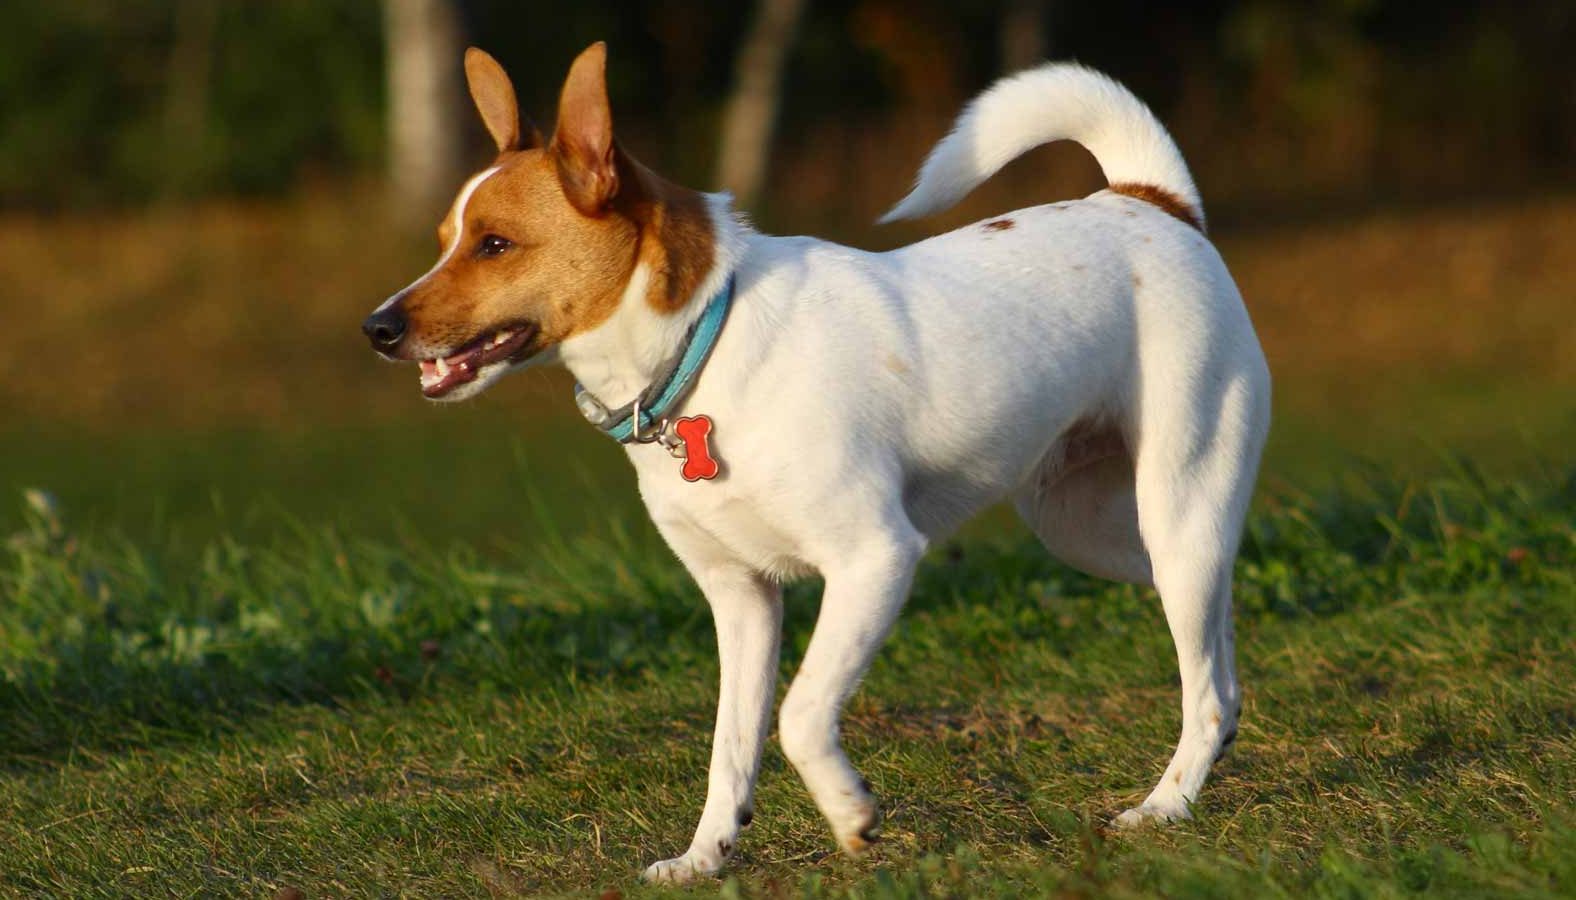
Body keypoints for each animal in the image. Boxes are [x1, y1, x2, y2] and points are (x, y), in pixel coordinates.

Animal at [362, 45, 1273, 882]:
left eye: (495, 245)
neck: (706, 346)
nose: (377, 328)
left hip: (1177, 507)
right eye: (444, 241)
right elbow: (731, 743)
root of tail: (1152, 203)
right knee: (1217, 648)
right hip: (1093, 533)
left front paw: (850, 812)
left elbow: (799, 717)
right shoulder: (740, 601)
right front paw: (707, 855)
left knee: (1203, 680)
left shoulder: (876, 560)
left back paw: (1165, 805)